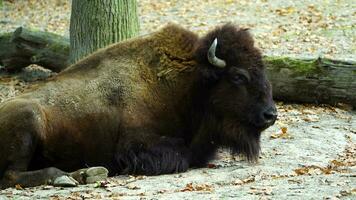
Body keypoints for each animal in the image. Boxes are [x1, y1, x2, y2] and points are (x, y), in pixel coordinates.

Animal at [0, 24, 278, 188]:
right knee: (11, 176)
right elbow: (180, 155)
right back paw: (64, 176)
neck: (189, 85)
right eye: (238, 76)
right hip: (29, 120)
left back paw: (85, 174)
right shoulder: (137, 144)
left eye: (263, 70)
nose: (271, 115)